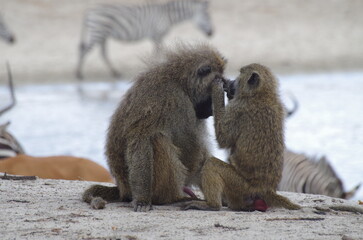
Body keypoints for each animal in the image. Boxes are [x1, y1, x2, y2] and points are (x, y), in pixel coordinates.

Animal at [77, 0, 213, 79]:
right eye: (207, 15)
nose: (212, 33)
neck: (167, 15)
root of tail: (88, 12)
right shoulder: (157, 35)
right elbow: (158, 53)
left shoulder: (155, 36)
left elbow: (156, 53)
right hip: (98, 32)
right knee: (84, 51)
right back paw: (79, 74)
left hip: (102, 35)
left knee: (102, 53)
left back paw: (115, 73)